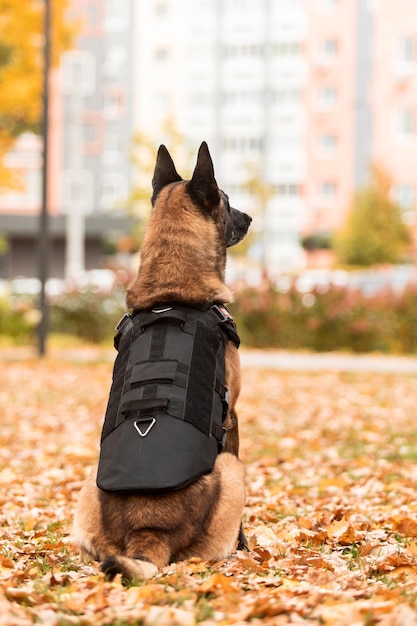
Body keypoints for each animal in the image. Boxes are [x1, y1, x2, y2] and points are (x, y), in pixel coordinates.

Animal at [72, 140, 252, 580]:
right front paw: (247, 544)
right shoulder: (234, 416)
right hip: (232, 471)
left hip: (86, 485)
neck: (172, 290)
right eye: (227, 200)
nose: (250, 218)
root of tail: (148, 530)